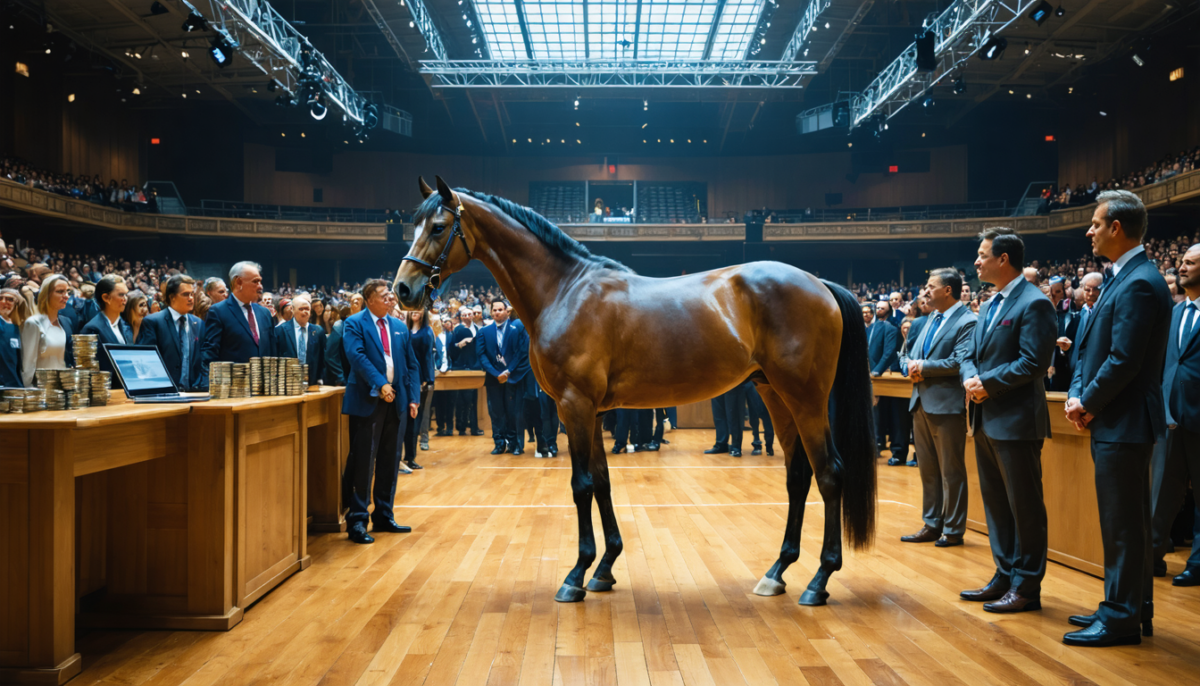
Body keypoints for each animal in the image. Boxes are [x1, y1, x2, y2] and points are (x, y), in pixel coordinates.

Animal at [393, 176, 877, 606]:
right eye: (411, 226)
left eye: (438, 227)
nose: (403, 289)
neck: (564, 291)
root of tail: (819, 283)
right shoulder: (594, 411)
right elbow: (603, 483)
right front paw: (605, 567)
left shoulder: (574, 406)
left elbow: (581, 485)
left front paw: (576, 575)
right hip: (775, 395)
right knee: (798, 475)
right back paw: (777, 572)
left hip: (806, 398)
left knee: (830, 472)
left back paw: (819, 580)